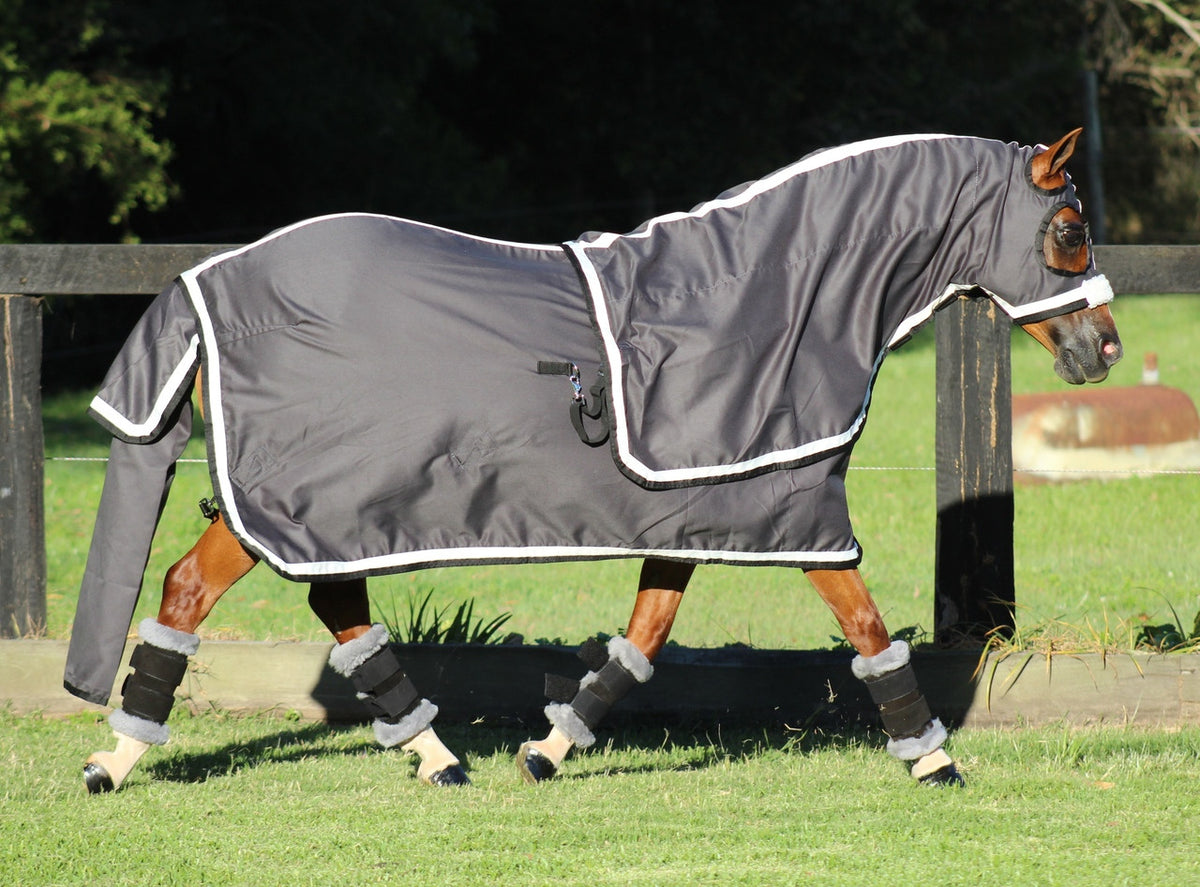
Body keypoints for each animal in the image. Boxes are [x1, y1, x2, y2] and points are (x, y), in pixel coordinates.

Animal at [67, 129, 1122, 793]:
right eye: (1069, 230)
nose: (1105, 349)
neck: (768, 298)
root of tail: (206, 278)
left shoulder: (701, 518)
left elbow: (644, 637)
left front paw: (547, 750)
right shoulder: (799, 516)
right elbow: (865, 630)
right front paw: (934, 759)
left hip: (325, 510)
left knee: (339, 607)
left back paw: (437, 754)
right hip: (294, 503)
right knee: (187, 592)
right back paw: (114, 762)